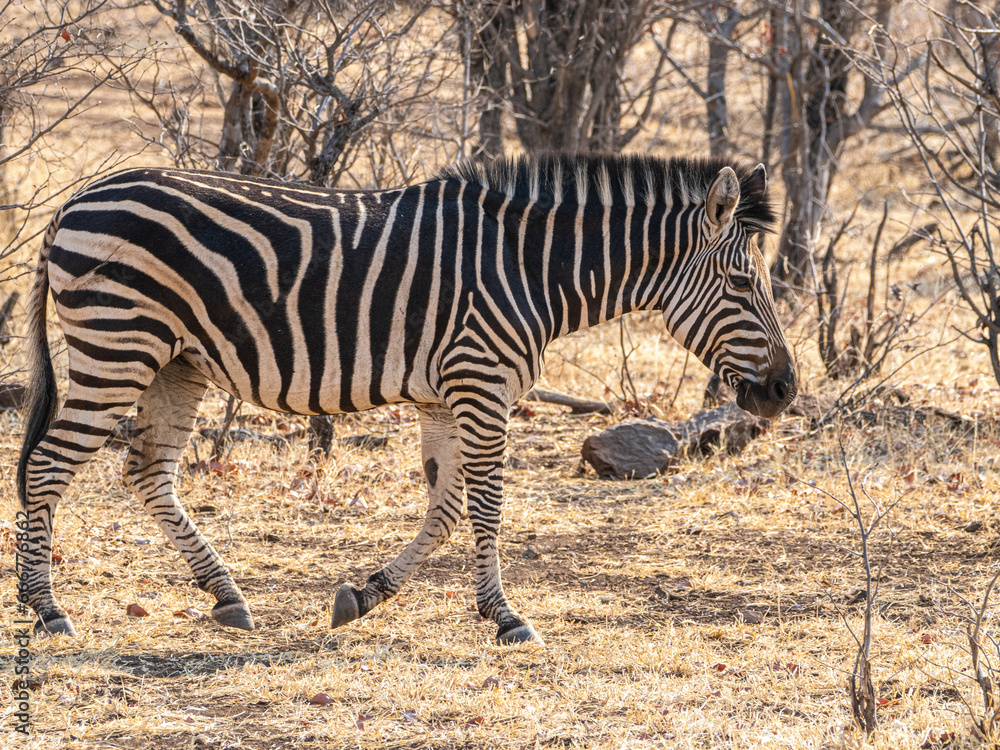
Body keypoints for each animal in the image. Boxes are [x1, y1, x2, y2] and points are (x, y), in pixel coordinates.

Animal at [17, 154, 796, 645]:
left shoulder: (446, 395)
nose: (785, 391)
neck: (531, 270)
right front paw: (506, 617)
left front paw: (366, 595)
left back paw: (226, 595)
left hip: (175, 362)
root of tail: (75, 200)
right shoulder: (481, 382)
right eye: (741, 284)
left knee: (148, 472)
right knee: (48, 468)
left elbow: (446, 510)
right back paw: (47, 609)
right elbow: (485, 506)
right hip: (118, 346)